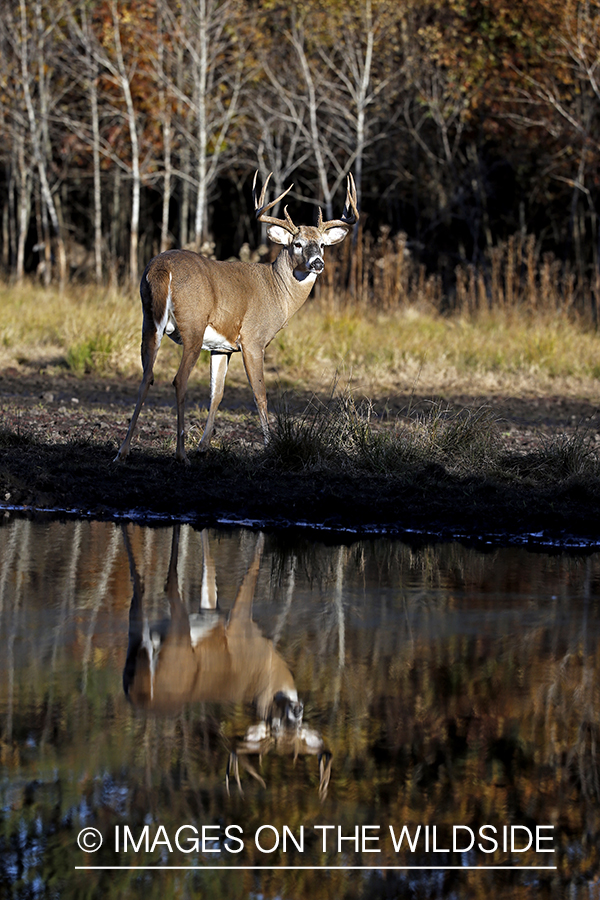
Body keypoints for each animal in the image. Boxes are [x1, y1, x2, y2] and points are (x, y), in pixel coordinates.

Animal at [115, 171, 358, 464]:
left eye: (322, 244)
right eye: (297, 244)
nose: (317, 263)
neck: (277, 291)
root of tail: (162, 269)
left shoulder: (221, 347)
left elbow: (217, 393)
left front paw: (204, 446)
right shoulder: (253, 340)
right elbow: (260, 394)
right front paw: (270, 445)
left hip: (149, 321)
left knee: (146, 376)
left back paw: (123, 451)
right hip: (193, 325)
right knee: (179, 379)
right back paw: (180, 453)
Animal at [120, 524, 330, 800]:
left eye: (297, 736)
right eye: (275, 726)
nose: (296, 710)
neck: (269, 669)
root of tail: (145, 693)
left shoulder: (211, 610)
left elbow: (209, 570)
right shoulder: (241, 621)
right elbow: (252, 567)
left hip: (135, 649)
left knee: (138, 589)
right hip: (178, 635)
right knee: (167, 583)